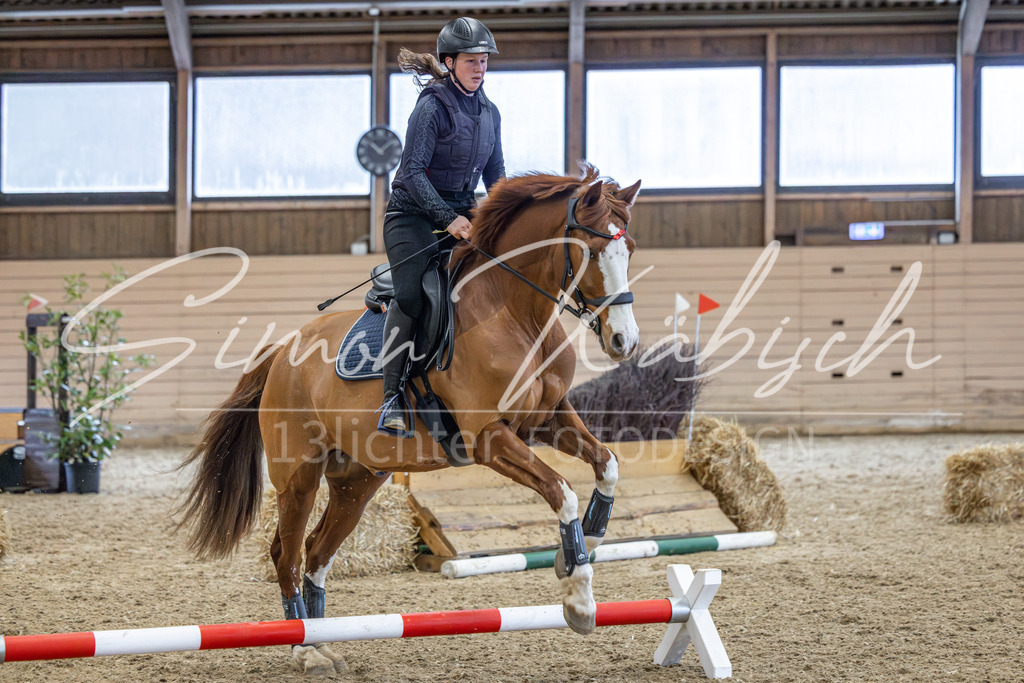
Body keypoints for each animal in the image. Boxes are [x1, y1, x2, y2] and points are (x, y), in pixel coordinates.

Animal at [175, 164, 642, 675]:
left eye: (630, 251)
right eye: (592, 252)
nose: (624, 341)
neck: (515, 313)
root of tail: (282, 352)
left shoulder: (546, 419)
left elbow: (607, 464)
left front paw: (586, 545)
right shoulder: (488, 438)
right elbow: (561, 489)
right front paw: (578, 598)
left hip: (357, 482)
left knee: (317, 552)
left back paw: (320, 642)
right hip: (299, 477)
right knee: (287, 554)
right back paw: (305, 650)